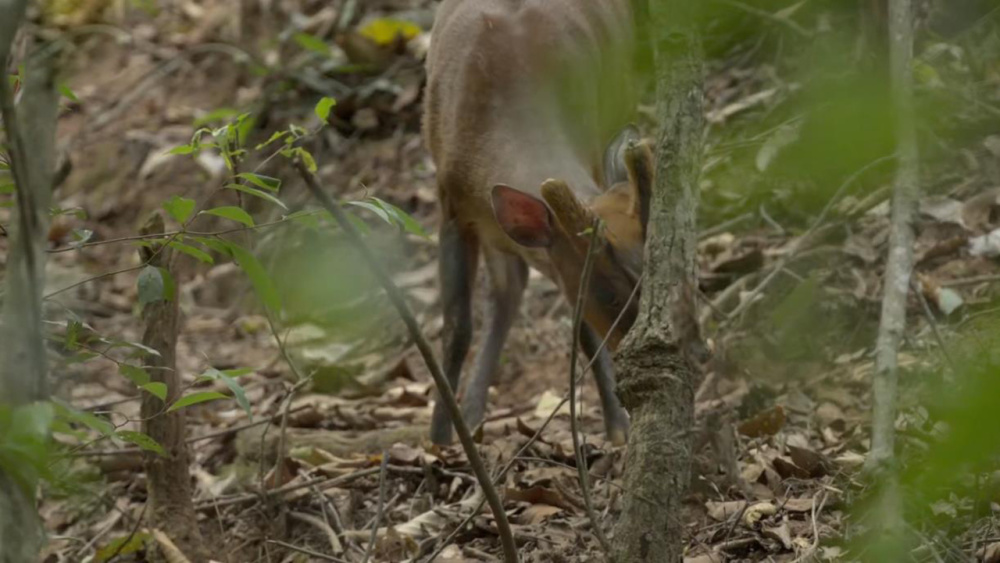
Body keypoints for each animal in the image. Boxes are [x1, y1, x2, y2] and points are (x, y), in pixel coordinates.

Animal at [424, 0, 652, 448]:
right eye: (608, 295)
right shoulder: (450, 206)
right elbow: (457, 328)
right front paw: (440, 439)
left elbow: (582, 329)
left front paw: (617, 425)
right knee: (506, 290)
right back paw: (472, 416)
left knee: (509, 288)